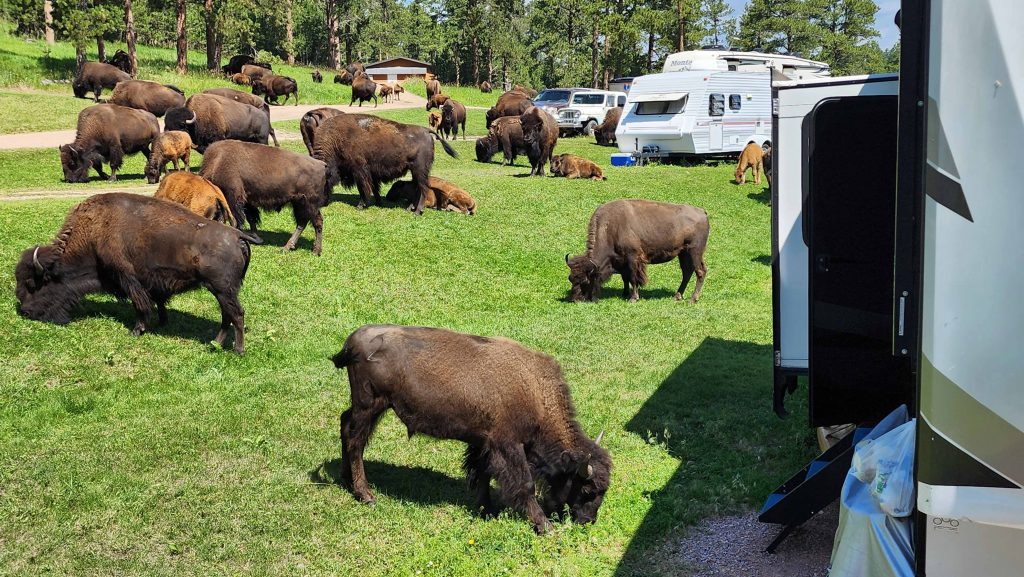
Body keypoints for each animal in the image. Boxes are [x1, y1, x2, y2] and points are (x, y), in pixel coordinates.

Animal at [14, 193, 260, 354]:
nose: (24, 311)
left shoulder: (128, 278)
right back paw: (215, 344)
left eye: (33, 284)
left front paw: (137, 330)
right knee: (227, 316)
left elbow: (140, 304)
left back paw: (237, 350)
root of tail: (237, 235)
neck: (95, 231)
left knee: (236, 315)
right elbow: (158, 301)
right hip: (223, 292)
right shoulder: (152, 281)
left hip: (222, 290)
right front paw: (162, 321)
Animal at [195, 140, 331, 255]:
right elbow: (251, 219)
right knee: (303, 223)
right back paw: (289, 247)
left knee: (316, 222)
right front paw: (255, 237)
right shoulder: (246, 202)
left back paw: (313, 251)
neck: (218, 161)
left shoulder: (233, 198)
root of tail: (321, 165)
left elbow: (236, 220)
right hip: (299, 203)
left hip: (309, 203)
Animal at [311, 112, 456, 214]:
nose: (321, 203)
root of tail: (427, 131)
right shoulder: (371, 173)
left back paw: (417, 211)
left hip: (419, 170)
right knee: (417, 189)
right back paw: (409, 209)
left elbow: (363, 188)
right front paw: (378, 202)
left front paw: (361, 205)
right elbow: (374, 187)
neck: (336, 140)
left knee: (423, 189)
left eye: (323, 180)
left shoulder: (359, 170)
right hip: (415, 172)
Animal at [331, 323, 610, 537]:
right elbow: (525, 484)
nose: (587, 521)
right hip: (370, 406)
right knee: (355, 441)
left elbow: (482, 473)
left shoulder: (483, 443)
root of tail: (353, 342)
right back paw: (366, 495)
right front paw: (545, 526)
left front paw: (486, 509)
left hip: (369, 407)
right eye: (587, 490)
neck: (534, 391)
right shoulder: (507, 445)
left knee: (345, 425)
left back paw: (346, 479)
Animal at [565, 200, 708, 305]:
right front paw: (624, 293)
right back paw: (677, 296)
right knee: (687, 272)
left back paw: (692, 299)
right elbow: (625, 278)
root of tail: (702, 212)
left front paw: (633, 298)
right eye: (570, 278)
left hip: (694, 251)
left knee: (700, 272)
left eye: (585, 281)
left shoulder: (632, 258)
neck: (611, 227)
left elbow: (633, 277)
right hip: (683, 253)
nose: (575, 299)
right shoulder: (621, 261)